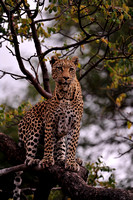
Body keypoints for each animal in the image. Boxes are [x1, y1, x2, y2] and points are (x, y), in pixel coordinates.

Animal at [12, 55, 83, 199]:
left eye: (71, 69)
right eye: (59, 68)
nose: (66, 77)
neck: (65, 94)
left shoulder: (75, 123)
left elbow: (72, 145)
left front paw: (71, 162)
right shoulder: (51, 121)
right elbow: (49, 142)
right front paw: (47, 160)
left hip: (60, 138)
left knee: (60, 150)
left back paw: (64, 160)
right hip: (34, 126)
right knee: (27, 157)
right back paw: (33, 160)